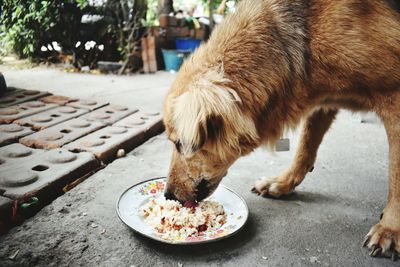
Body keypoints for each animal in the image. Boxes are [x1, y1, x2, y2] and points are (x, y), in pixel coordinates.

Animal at [162, 0, 400, 260]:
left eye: (180, 143)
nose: (167, 196)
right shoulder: (323, 101)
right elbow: (305, 147)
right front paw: (283, 183)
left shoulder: (394, 96)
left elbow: (396, 172)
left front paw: (391, 228)